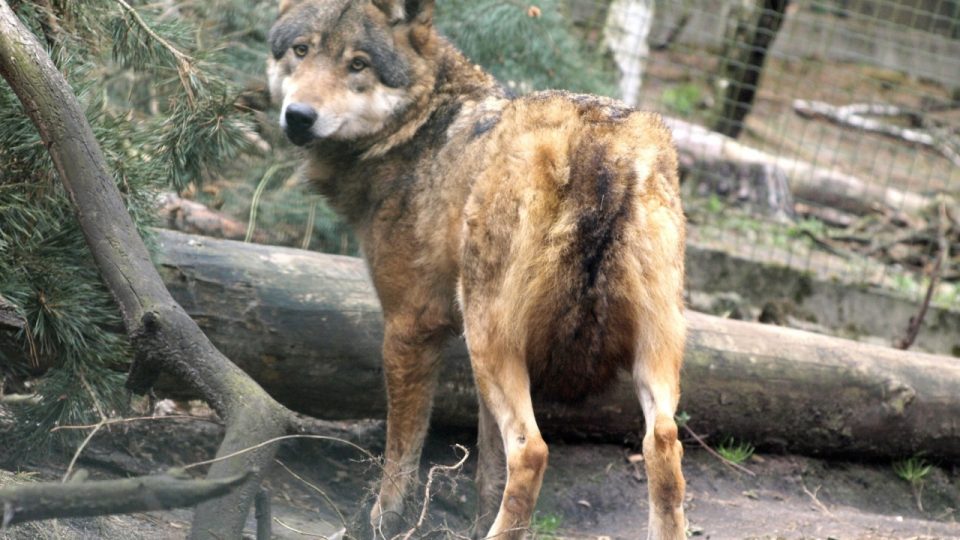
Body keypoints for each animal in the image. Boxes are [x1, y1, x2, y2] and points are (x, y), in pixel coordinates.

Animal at [266, 2, 688, 536]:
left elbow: (402, 453)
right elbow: (488, 469)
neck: (420, 130)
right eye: (301, 50)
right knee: (664, 446)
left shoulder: (410, 326)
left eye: (358, 64)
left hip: (491, 339)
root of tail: (600, 146)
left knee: (531, 452)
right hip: (639, 353)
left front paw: (380, 521)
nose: (299, 117)